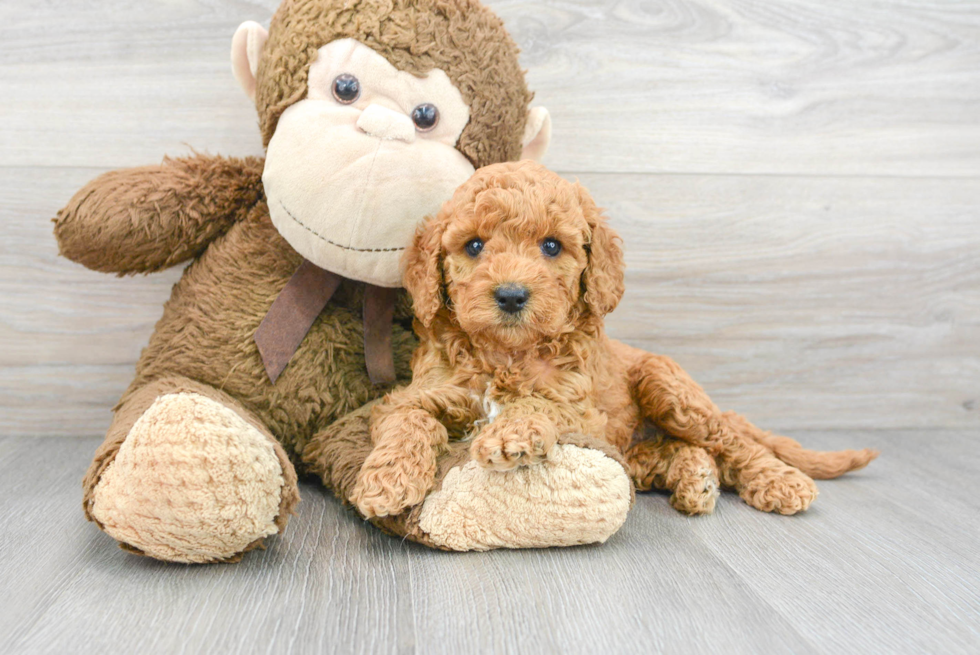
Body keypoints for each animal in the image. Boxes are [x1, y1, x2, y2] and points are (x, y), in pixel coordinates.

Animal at [350, 160, 872, 524]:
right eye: (474, 246)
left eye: (552, 246)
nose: (512, 295)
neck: (508, 353)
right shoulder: (415, 394)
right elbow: (409, 420)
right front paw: (386, 480)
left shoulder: (580, 409)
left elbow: (538, 403)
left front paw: (512, 433)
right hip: (636, 445)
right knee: (670, 453)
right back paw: (694, 478)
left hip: (668, 386)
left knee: (731, 441)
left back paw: (779, 481)